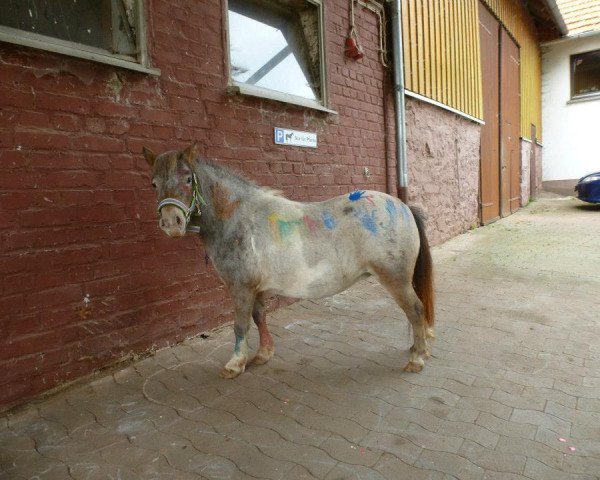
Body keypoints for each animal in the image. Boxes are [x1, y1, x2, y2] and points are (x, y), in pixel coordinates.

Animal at [145, 142, 436, 378]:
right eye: (154, 183)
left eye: (187, 179)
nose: (171, 223)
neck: (237, 218)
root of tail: (403, 207)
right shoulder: (255, 288)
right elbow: (259, 316)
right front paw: (263, 354)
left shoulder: (240, 287)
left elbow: (240, 324)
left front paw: (235, 364)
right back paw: (417, 348)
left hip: (395, 279)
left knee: (415, 309)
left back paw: (417, 359)